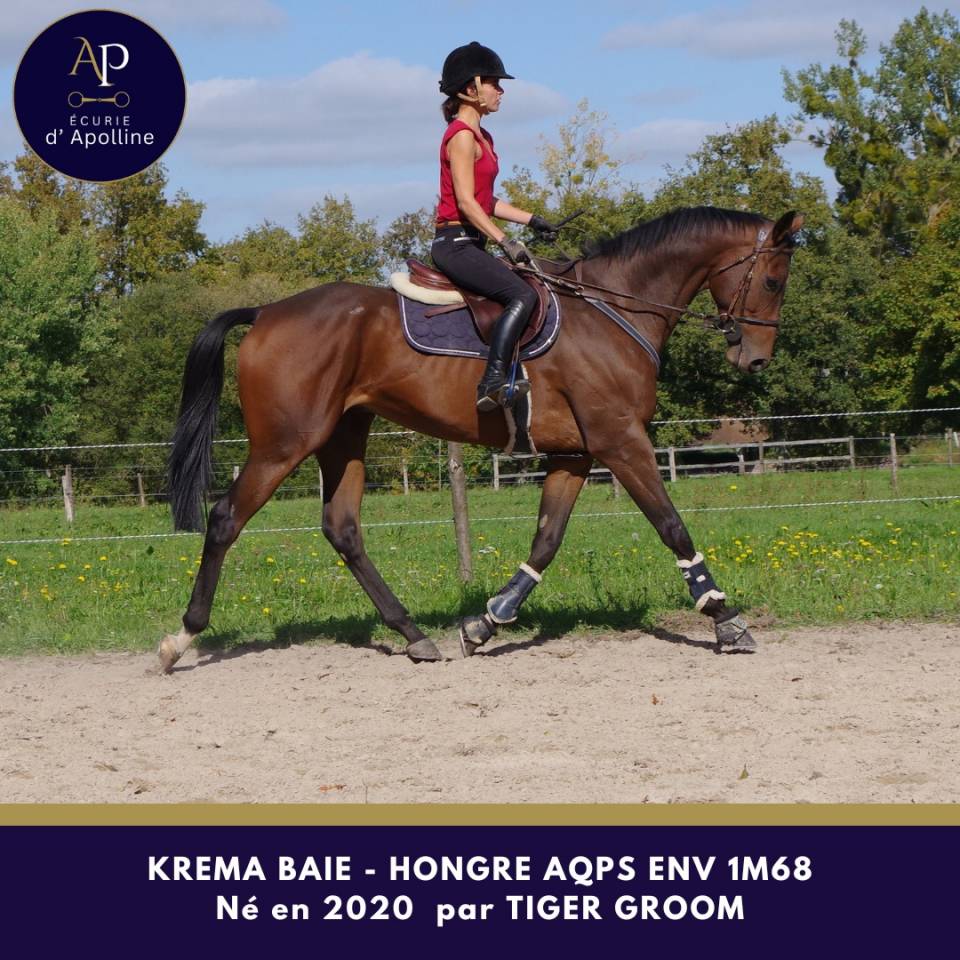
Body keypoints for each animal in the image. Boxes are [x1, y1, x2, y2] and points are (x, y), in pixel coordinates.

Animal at [159, 205, 803, 672]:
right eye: (774, 279)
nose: (756, 359)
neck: (613, 310)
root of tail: (267, 311)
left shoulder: (575, 454)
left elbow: (546, 541)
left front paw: (486, 622)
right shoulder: (621, 442)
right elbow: (672, 526)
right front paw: (725, 618)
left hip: (343, 437)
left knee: (342, 529)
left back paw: (414, 635)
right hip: (285, 442)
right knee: (226, 519)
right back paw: (181, 638)